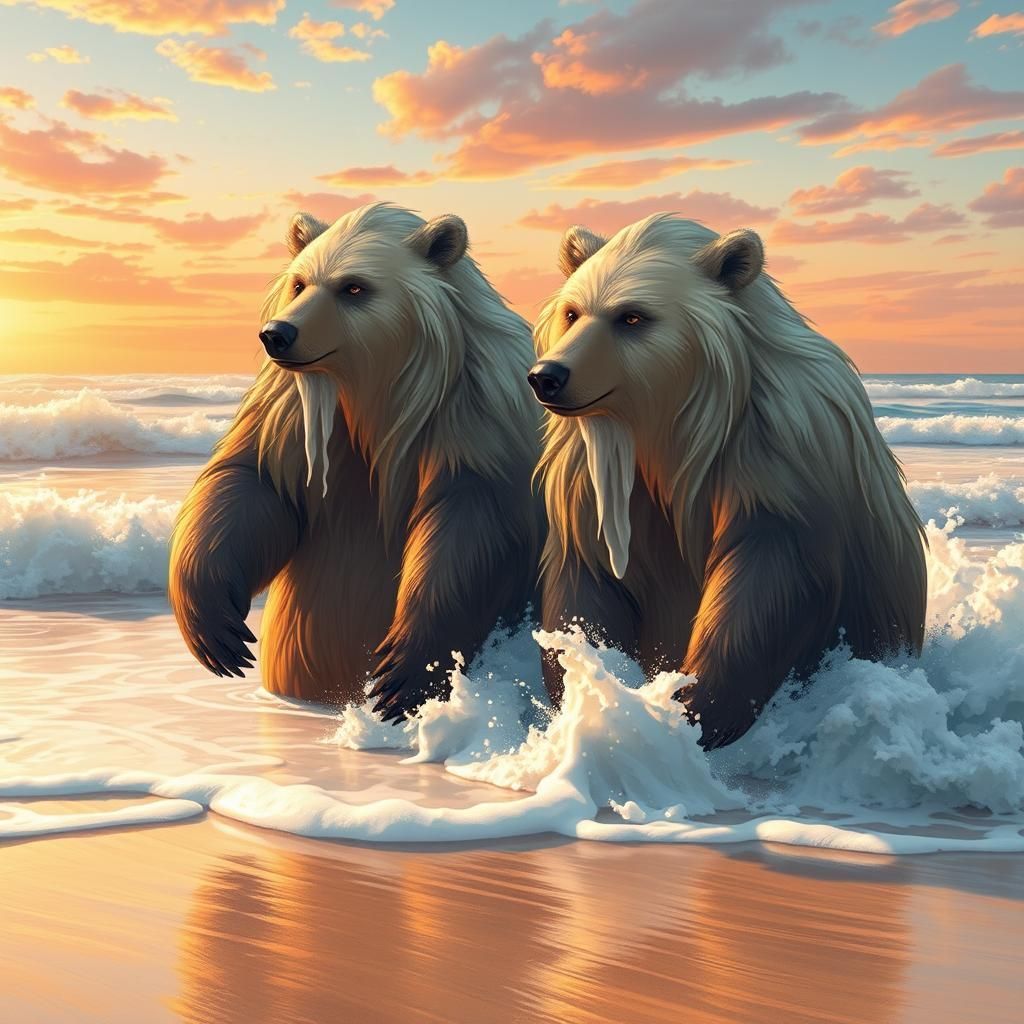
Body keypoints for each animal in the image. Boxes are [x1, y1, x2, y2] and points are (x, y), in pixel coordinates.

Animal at [170, 202, 543, 721]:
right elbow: (253, 481)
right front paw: (215, 629)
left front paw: (402, 673)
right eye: (300, 282)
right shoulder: (293, 408)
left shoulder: (475, 413)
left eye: (353, 287)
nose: (277, 334)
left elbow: (471, 523)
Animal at [527, 213, 927, 749]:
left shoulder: (774, 462)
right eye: (573, 312)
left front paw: (688, 706)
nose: (548, 375)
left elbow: (763, 585)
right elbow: (587, 580)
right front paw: (585, 685)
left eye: (632, 316)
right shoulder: (591, 480)